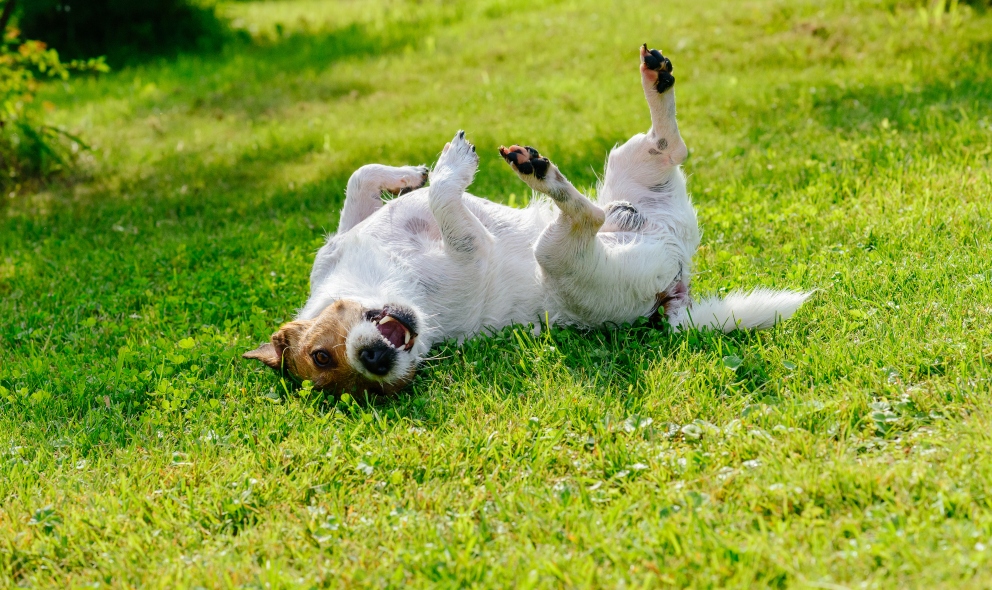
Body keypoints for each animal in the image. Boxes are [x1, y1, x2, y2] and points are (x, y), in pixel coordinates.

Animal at [244, 45, 808, 398]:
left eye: (320, 355)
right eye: (332, 368)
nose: (376, 363)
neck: (381, 281)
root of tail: (677, 284)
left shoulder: (342, 240)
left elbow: (360, 179)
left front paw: (410, 176)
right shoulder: (470, 251)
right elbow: (446, 200)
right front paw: (448, 168)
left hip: (630, 162)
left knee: (669, 145)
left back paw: (655, 77)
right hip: (561, 255)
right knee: (590, 213)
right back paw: (541, 174)